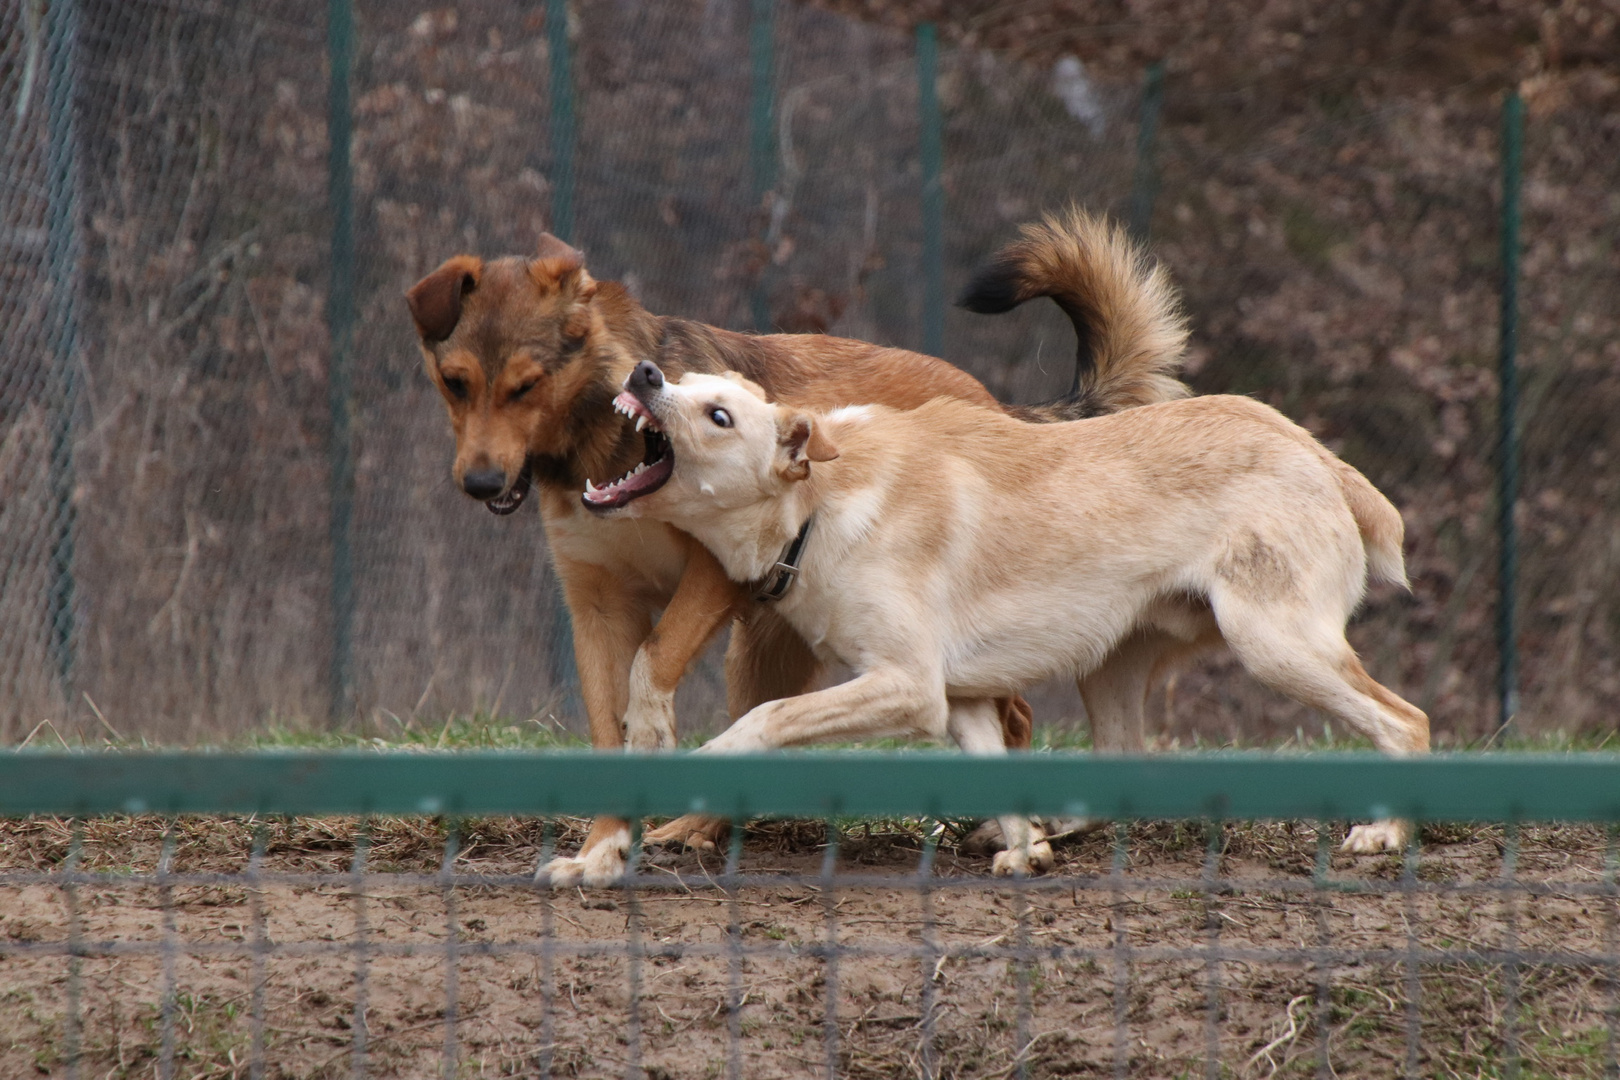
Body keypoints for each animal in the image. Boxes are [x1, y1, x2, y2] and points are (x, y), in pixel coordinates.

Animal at [408, 208, 1192, 887]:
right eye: (454, 383)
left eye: (525, 386)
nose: (479, 483)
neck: (596, 441)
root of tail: (997, 404)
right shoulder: (598, 607)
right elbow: (612, 722)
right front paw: (602, 849)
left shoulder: (715, 574)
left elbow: (651, 664)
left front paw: (651, 728)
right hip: (766, 641)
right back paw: (692, 831)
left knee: (1017, 716)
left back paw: (1004, 830)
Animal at [609, 367, 1432, 874]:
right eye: (684, 380)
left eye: (719, 416)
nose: (644, 373)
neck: (819, 506)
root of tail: (1316, 455)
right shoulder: (962, 701)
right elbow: (993, 775)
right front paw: (1022, 851)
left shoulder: (909, 687)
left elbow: (763, 718)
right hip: (1114, 668)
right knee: (1117, 769)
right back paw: (1044, 830)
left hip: (1274, 647)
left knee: (1408, 723)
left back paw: (1386, 834)